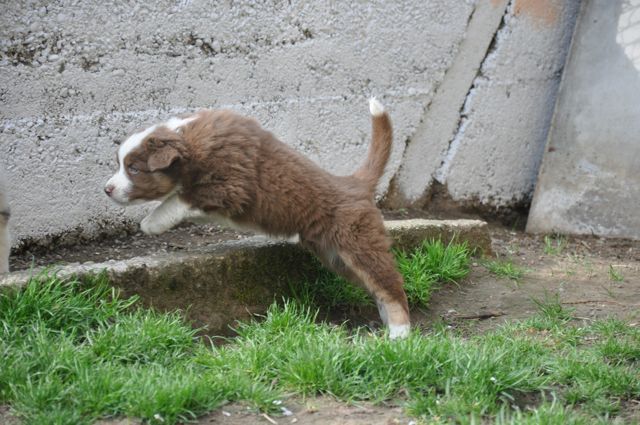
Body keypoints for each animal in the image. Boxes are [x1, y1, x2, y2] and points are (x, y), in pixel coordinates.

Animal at [104, 99, 410, 338]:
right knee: (378, 288)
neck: (191, 142)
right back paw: (387, 324)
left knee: (390, 284)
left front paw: (151, 223)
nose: (107, 189)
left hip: (360, 243)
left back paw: (400, 335)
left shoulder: (231, 187)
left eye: (133, 168)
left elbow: (181, 199)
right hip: (336, 257)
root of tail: (354, 183)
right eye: (120, 164)